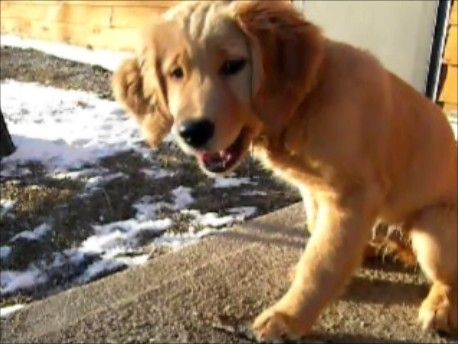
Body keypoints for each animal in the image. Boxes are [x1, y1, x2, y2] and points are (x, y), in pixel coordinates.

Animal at [112, 0, 456, 342]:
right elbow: (320, 237)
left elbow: (323, 260)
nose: (192, 132)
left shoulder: (352, 196)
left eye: (233, 65)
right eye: (176, 73)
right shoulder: (315, 192)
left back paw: (440, 307)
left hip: (433, 230)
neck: (306, 100)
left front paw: (287, 318)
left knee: (448, 277)